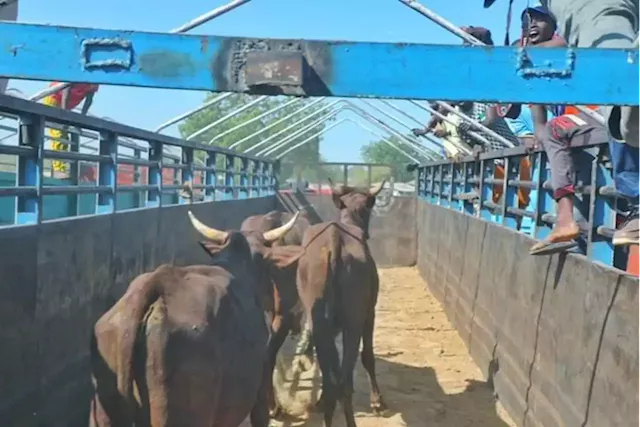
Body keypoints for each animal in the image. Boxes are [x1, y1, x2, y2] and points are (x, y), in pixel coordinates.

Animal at [298, 179, 388, 427]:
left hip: (320, 322)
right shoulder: (369, 312)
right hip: (354, 320)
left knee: (332, 382)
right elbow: (368, 356)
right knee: (344, 379)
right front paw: (377, 400)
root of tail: (334, 240)